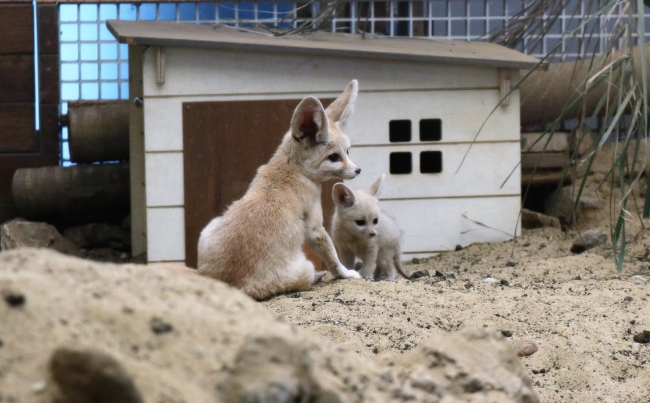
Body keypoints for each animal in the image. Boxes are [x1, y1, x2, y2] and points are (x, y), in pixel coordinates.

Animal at [195, 80, 362, 300]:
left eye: (348, 152)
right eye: (334, 157)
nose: (358, 170)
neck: (289, 169)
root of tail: (233, 285)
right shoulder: (315, 228)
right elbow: (332, 255)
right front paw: (346, 273)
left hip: (209, 228)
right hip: (306, 266)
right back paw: (316, 277)